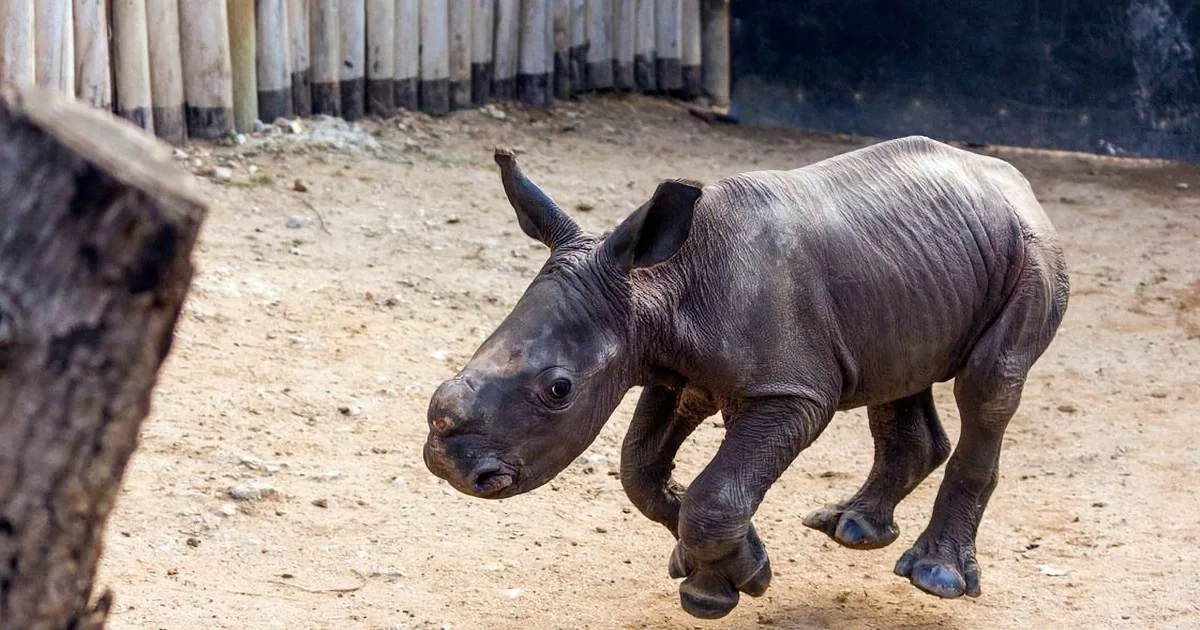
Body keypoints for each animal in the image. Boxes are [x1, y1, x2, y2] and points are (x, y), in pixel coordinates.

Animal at [424, 136, 1070, 619]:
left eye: (559, 390)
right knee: (900, 373)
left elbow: (715, 491)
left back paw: (936, 578)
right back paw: (851, 529)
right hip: (915, 270)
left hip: (1032, 252)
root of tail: (1014, 183)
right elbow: (641, 472)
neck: (658, 286)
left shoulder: (790, 390)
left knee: (988, 386)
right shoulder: (675, 371)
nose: (450, 466)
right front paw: (726, 567)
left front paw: (716, 592)